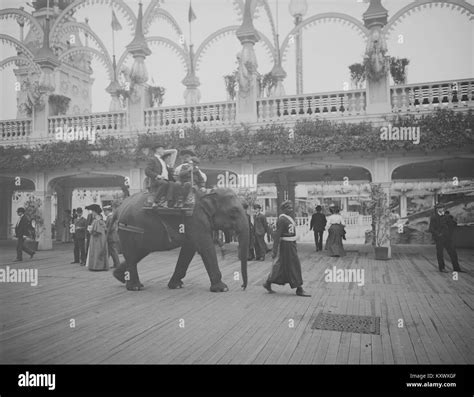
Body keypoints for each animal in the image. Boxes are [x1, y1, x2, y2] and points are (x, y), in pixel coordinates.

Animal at [109, 187, 250, 292]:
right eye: (234, 211)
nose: (243, 286)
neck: (208, 192)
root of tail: (118, 209)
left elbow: (189, 250)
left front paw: (176, 285)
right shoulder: (195, 219)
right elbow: (205, 247)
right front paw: (223, 288)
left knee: (138, 253)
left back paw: (119, 277)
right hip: (128, 229)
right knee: (132, 254)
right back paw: (135, 287)